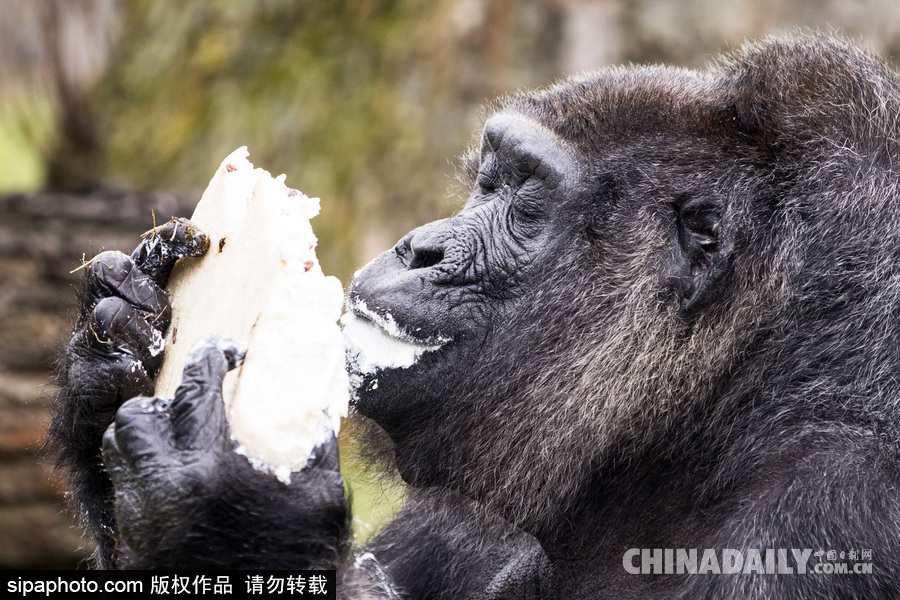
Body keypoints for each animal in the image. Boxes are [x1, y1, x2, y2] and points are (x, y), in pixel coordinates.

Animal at [47, 35, 900, 596]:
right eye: (490, 179)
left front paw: (233, 509)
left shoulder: (829, 512)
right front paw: (112, 346)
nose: (421, 247)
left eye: (527, 199)